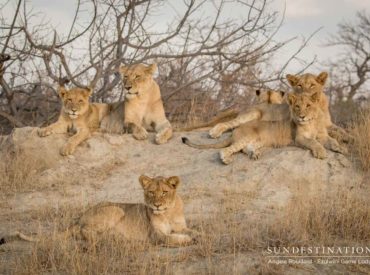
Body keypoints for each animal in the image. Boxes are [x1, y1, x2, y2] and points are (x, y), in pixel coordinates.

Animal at [0, 176, 197, 249]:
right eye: (151, 192)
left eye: (164, 192)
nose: (156, 205)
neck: (168, 212)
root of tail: (79, 219)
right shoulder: (156, 236)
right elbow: (171, 239)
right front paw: (187, 240)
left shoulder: (180, 226)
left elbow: (194, 230)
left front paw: (197, 236)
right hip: (115, 209)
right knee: (86, 233)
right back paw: (110, 240)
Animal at [183, 92, 346, 166]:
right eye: (297, 106)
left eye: (308, 106)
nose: (302, 116)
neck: (312, 122)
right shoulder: (299, 138)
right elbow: (314, 143)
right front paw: (321, 152)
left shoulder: (322, 135)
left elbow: (331, 140)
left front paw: (341, 148)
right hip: (248, 126)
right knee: (227, 148)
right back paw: (226, 158)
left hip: (259, 140)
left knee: (246, 148)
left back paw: (255, 154)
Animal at [210, 71, 352, 144]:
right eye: (299, 85)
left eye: (312, 85)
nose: (305, 94)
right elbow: (333, 132)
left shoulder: (328, 123)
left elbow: (341, 129)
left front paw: (348, 136)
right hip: (252, 114)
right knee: (229, 123)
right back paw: (214, 132)